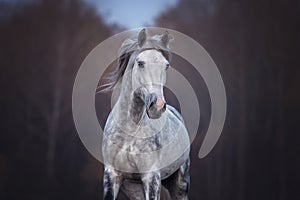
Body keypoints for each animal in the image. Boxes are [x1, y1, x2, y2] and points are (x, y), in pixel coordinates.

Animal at [101, 28, 190, 200]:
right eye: (140, 63)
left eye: (166, 65)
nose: (157, 106)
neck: (130, 129)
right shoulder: (112, 175)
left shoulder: (151, 177)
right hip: (133, 187)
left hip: (180, 184)